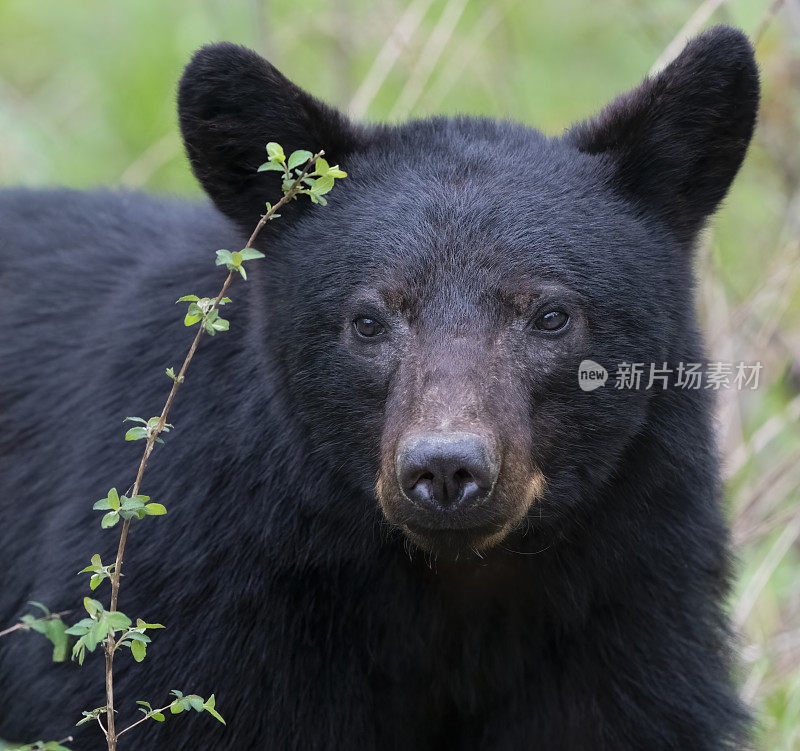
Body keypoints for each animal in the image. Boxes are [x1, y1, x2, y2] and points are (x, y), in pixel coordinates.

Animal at [0, 25, 760, 751]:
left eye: (552, 315)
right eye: (368, 320)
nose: (446, 468)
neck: (451, 586)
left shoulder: (626, 607)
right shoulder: (203, 591)